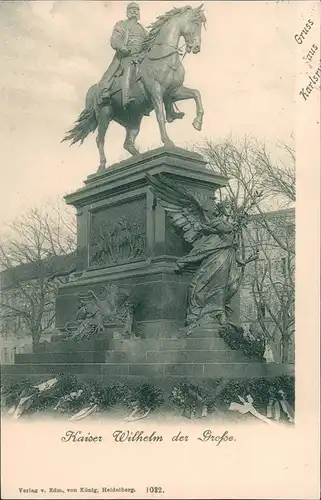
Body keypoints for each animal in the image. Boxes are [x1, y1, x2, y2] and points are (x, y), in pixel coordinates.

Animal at [63, 3, 205, 173]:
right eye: (195, 23)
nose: (196, 47)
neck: (164, 59)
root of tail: (93, 90)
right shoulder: (156, 92)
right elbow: (160, 117)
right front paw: (167, 141)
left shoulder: (174, 92)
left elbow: (196, 94)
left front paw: (197, 123)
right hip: (105, 114)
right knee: (100, 139)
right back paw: (102, 166)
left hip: (134, 119)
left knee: (128, 143)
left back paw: (139, 157)